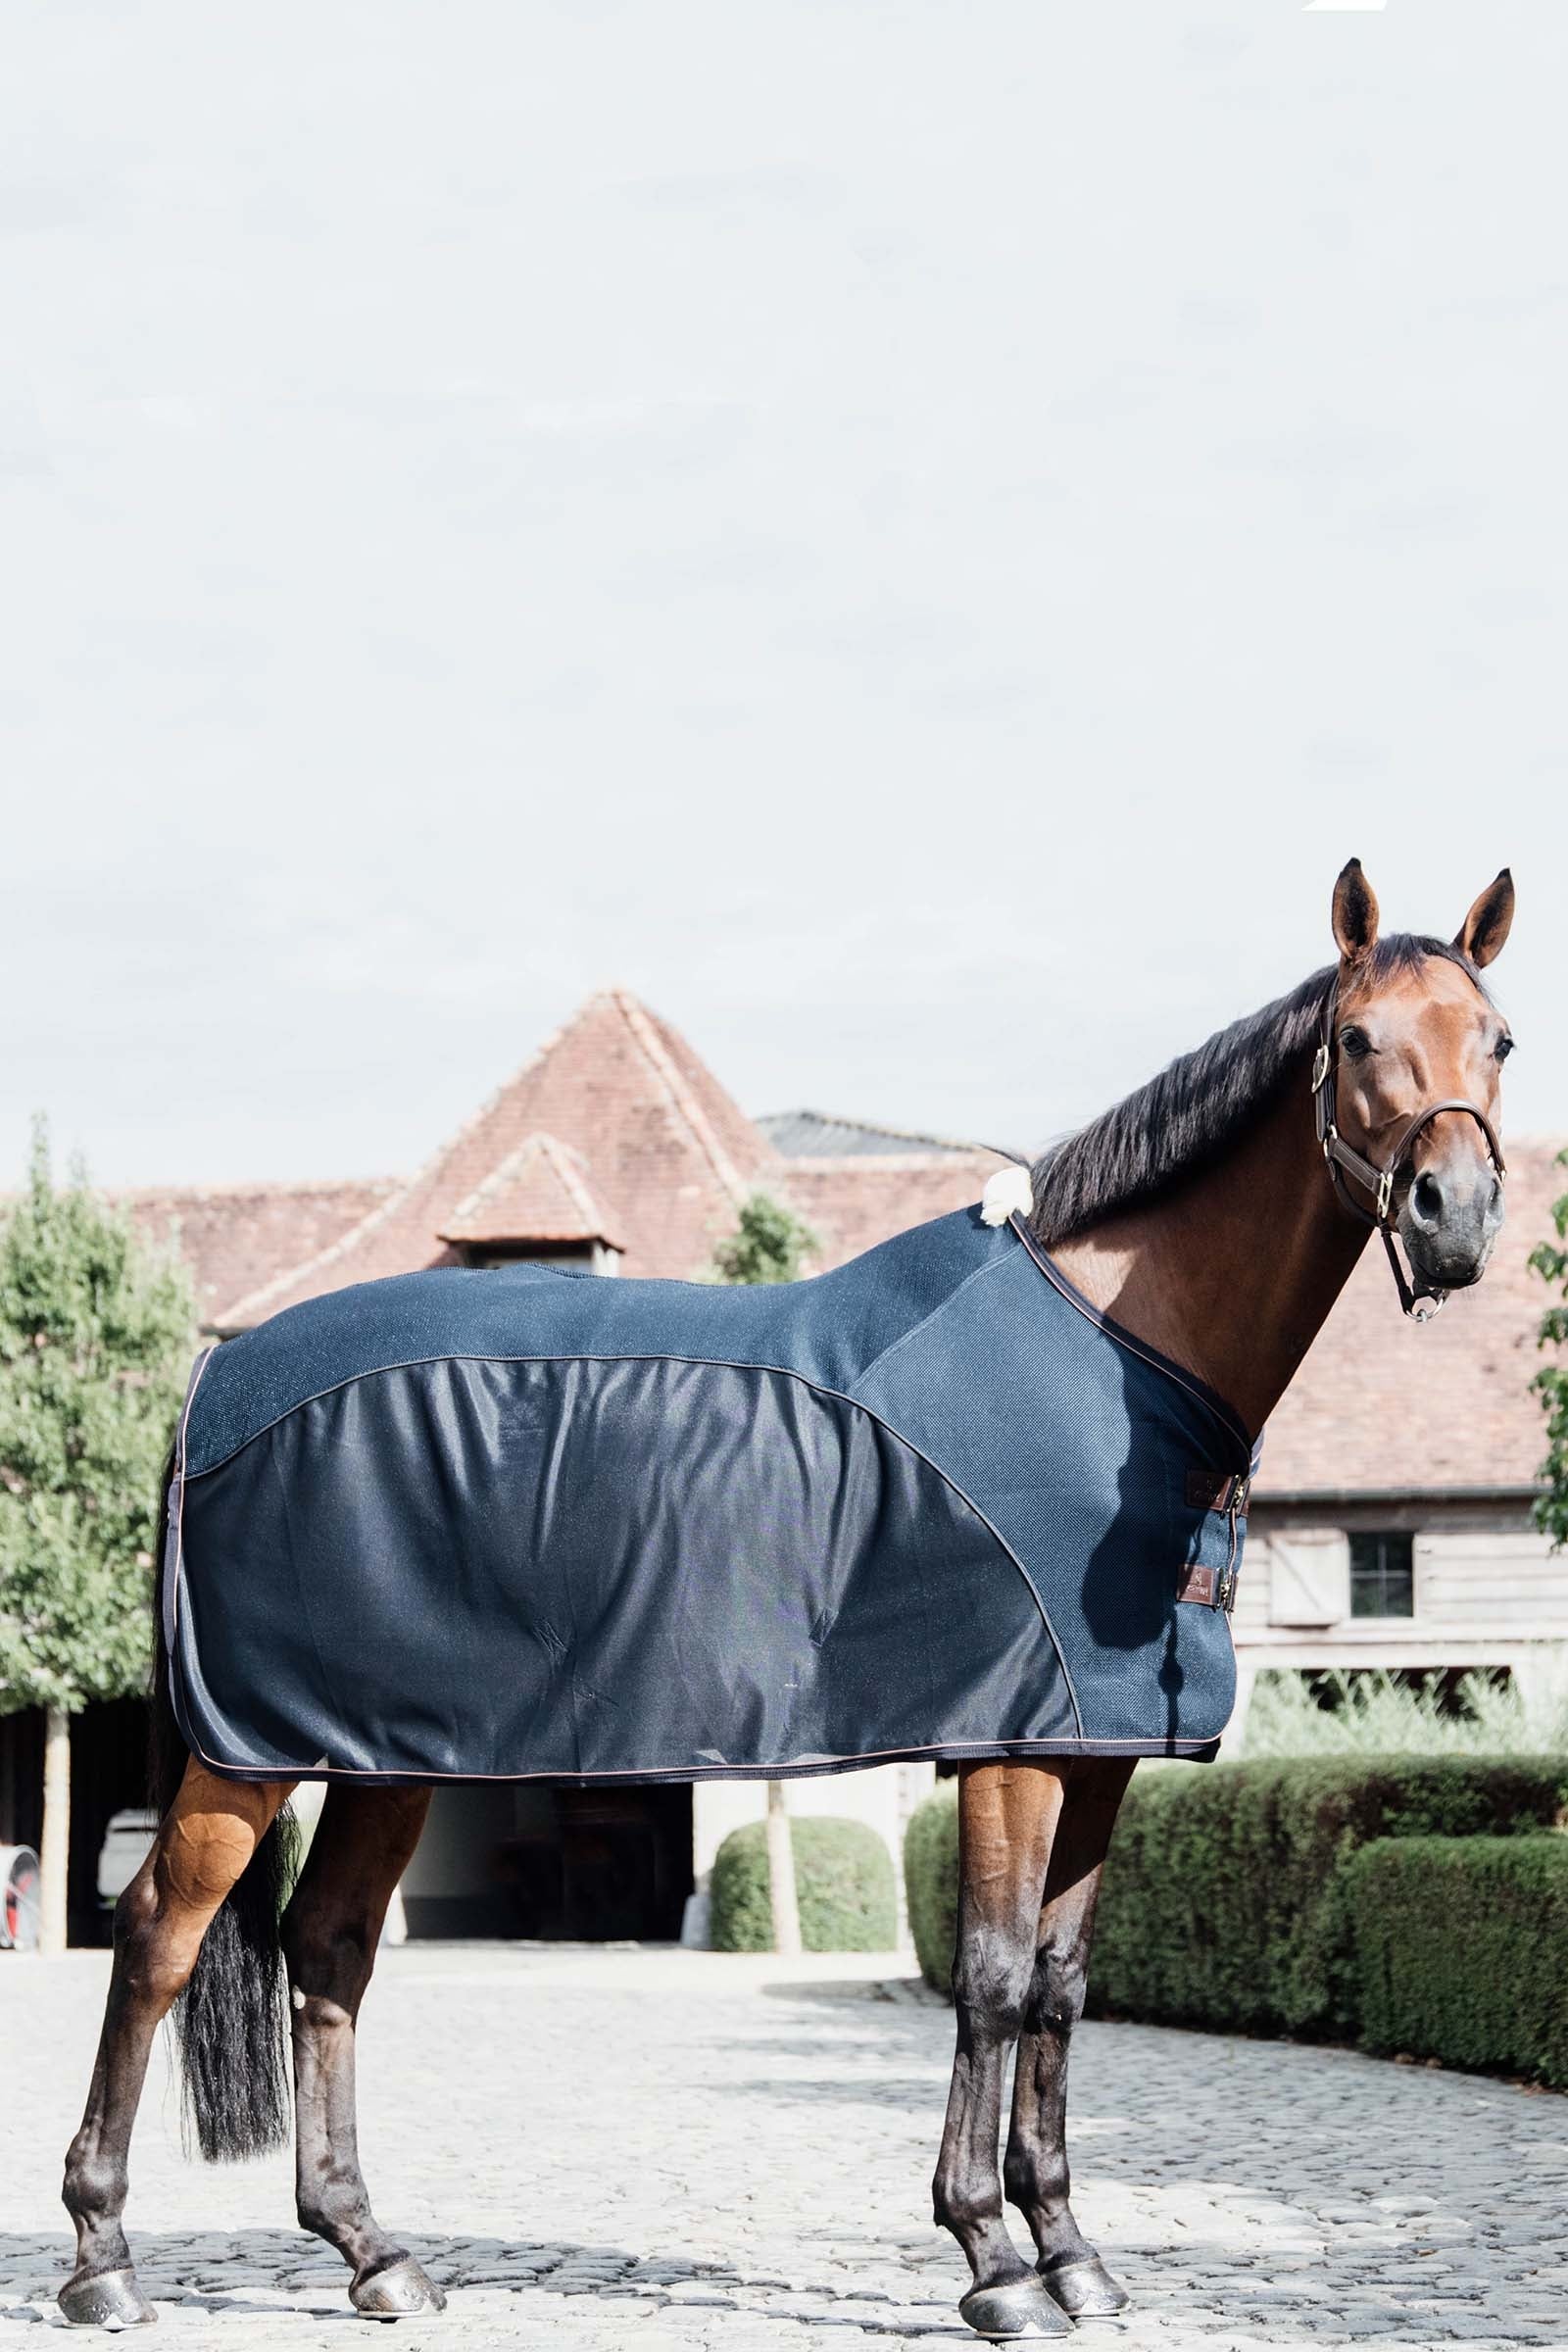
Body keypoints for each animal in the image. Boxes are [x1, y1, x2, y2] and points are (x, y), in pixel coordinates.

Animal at [58, 858, 1516, 2339]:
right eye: (1357, 1040)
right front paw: (991, 2259)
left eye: (1499, 1040)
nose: (1453, 1218)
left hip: (384, 1752)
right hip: (249, 1756)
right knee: (159, 1936)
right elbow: (991, 1982)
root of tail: (213, 1388)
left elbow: (1059, 1989)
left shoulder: (1098, 1751)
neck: (1109, 1353)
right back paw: (104, 2260)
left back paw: (372, 2254)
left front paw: (1073, 2255)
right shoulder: (1009, 1750)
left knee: (332, 1947)